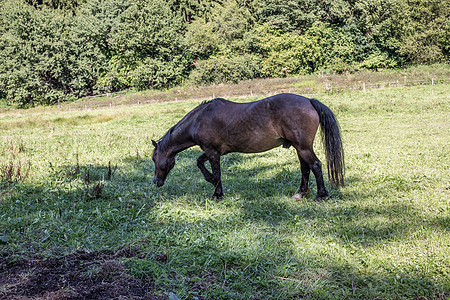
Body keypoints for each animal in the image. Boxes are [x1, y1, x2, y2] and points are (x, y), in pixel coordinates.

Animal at [151, 93, 344, 202]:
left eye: (154, 159)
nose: (156, 182)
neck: (199, 120)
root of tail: (309, 101)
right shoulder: (214, 151)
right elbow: (200, 162)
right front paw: (212, 182)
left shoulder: (212, 152)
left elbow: (216, 172)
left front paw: (217, 194)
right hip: (300, 148)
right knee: (305, 168)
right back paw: (301, 193)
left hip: (303, 147)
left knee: (315, 166)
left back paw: (321, 195)